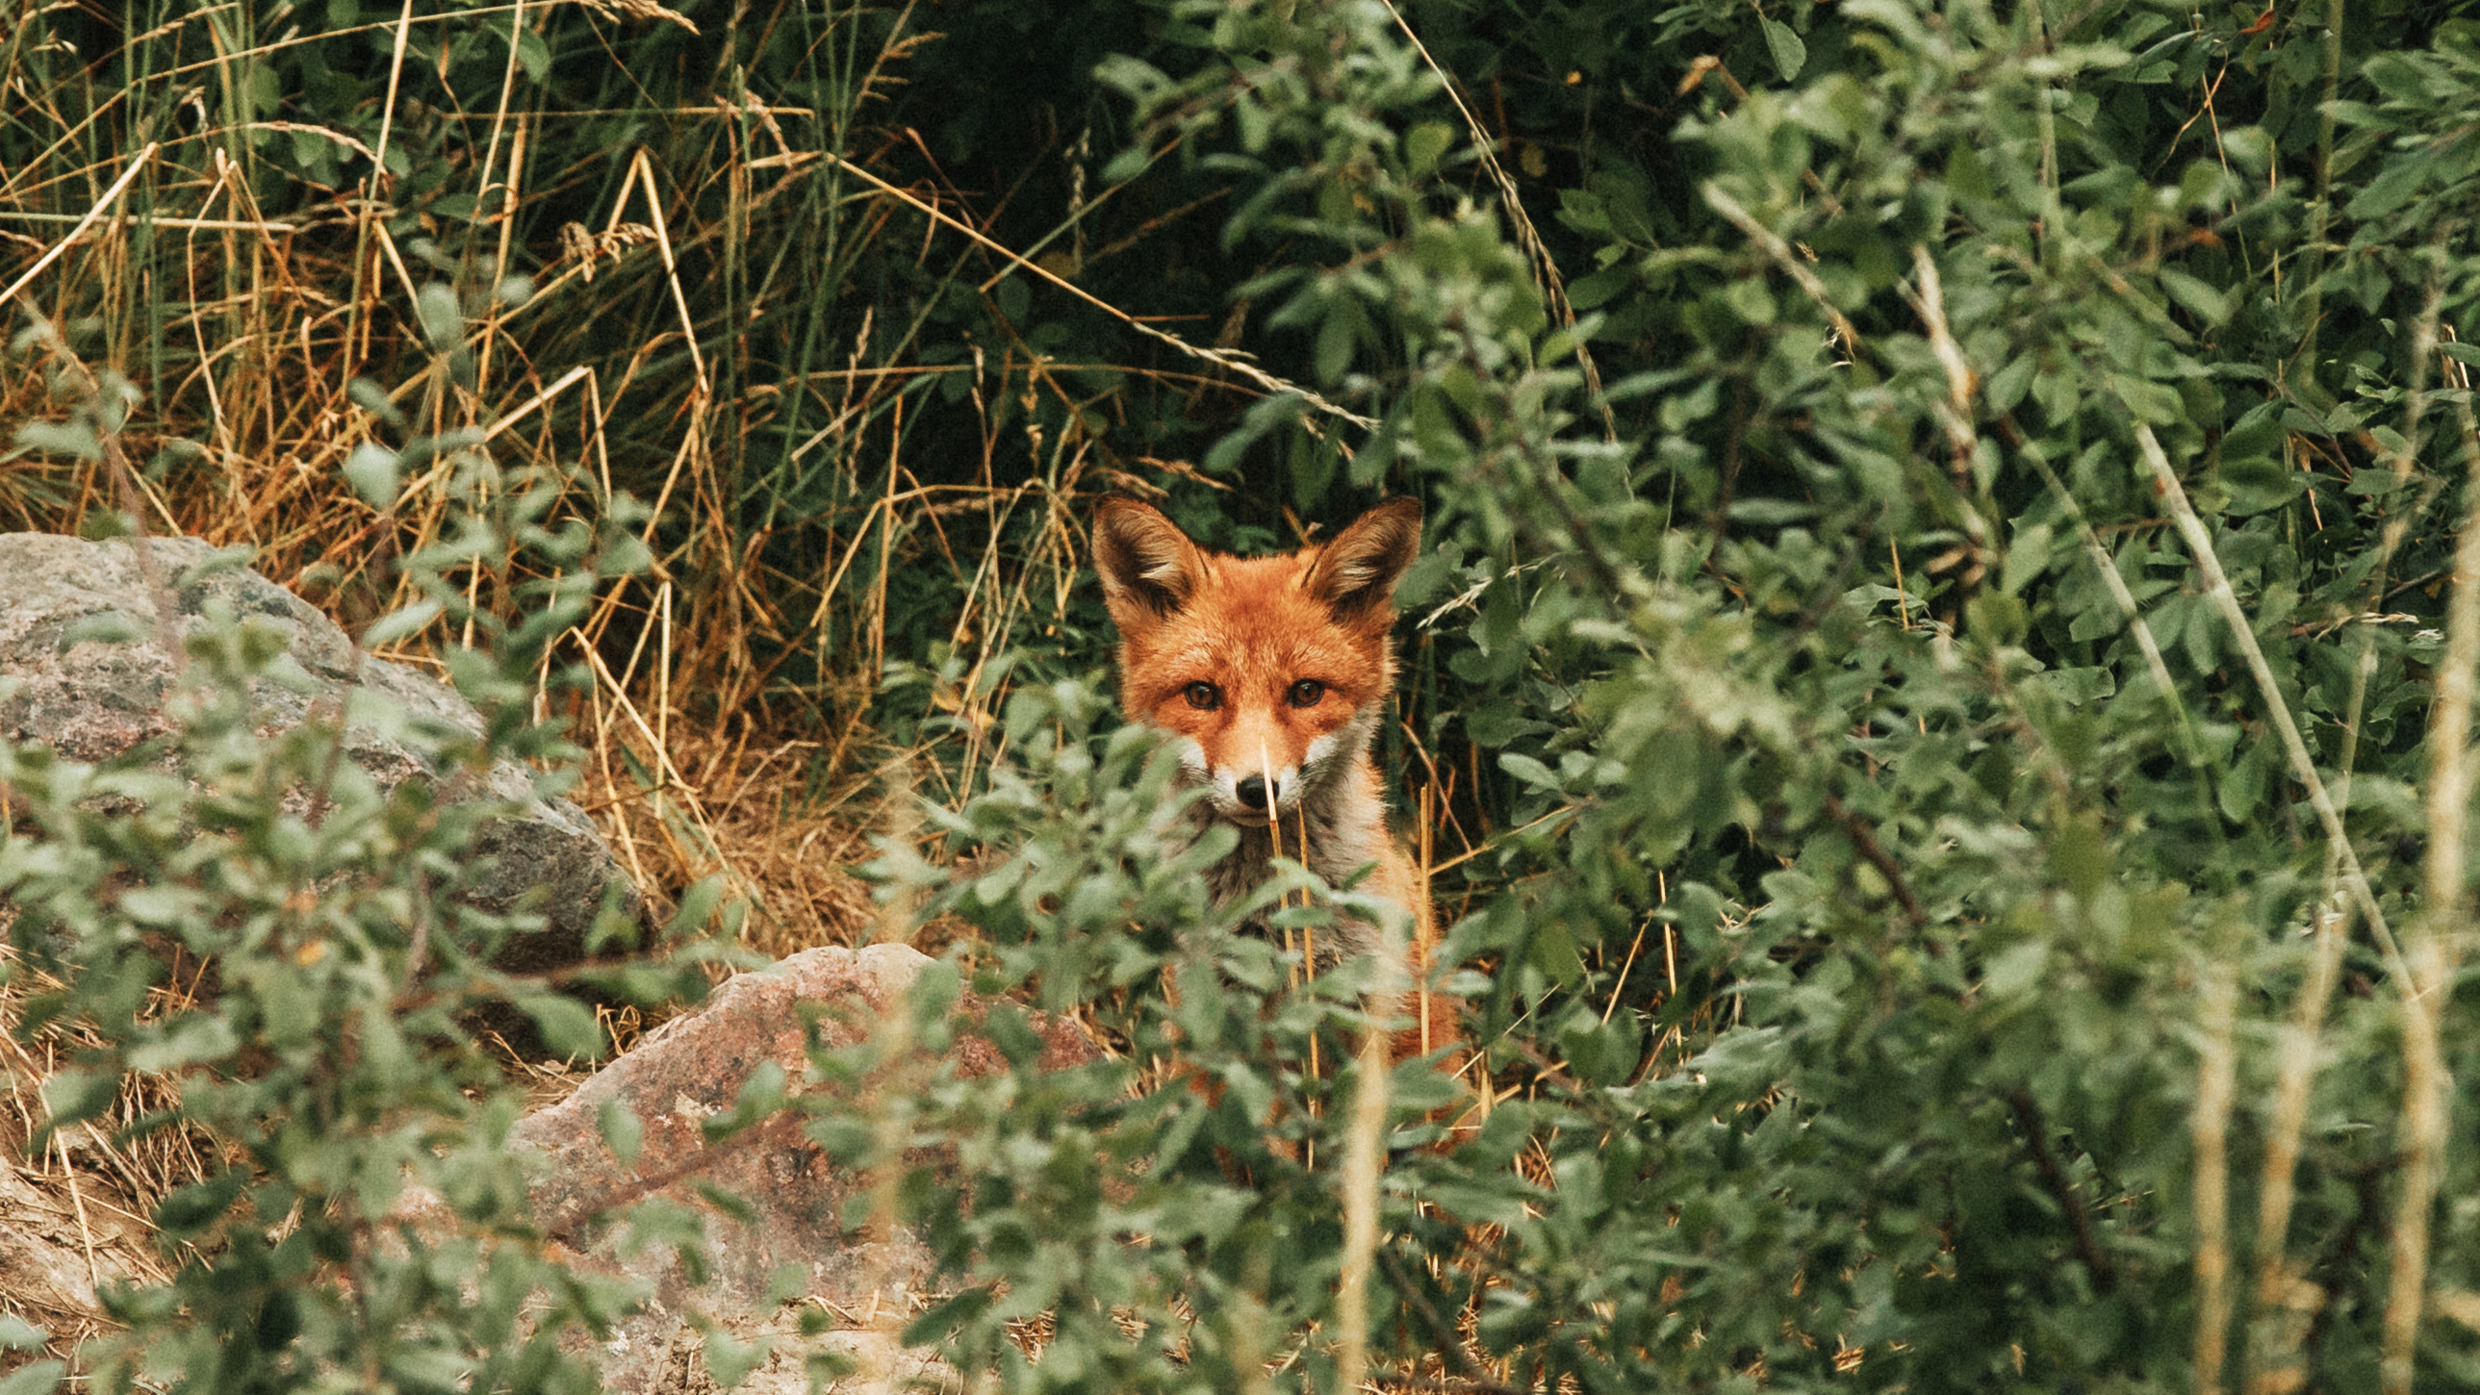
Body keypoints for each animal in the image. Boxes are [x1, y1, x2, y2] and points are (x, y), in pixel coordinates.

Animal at [1092, 496, 1450, 1057]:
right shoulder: (1209, 1011)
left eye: (1306, 692)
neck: (1269, 913)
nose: (1257, 789)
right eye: (1202, 695)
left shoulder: (1371, 1006)